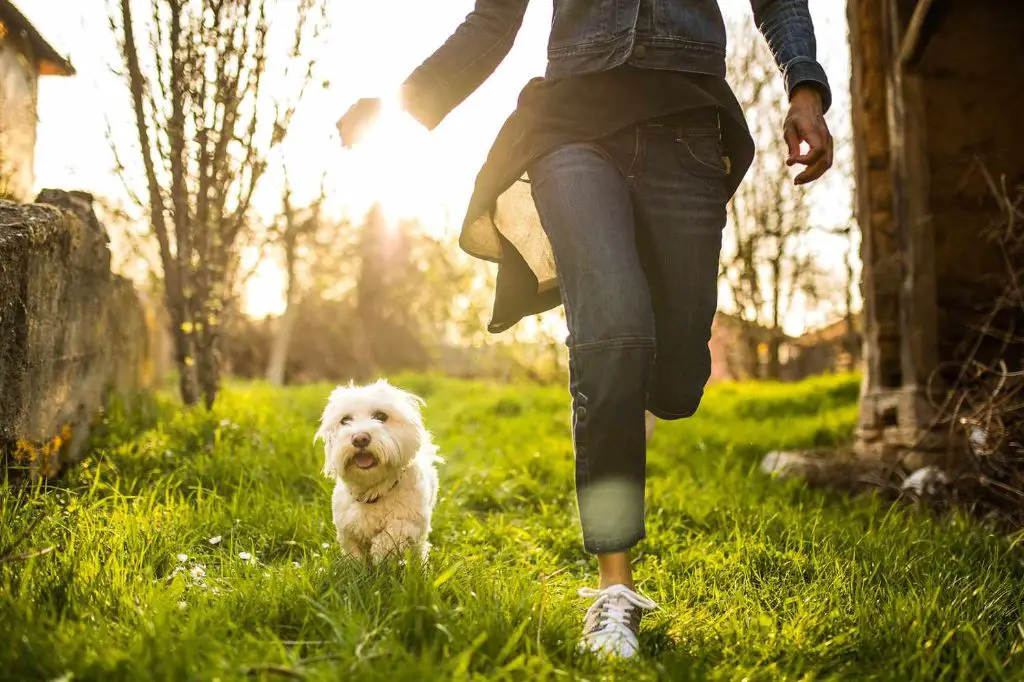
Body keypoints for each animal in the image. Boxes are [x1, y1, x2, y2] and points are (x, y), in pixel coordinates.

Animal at [313, 378, 438, 561]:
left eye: (381, 416)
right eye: (345, 420)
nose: (359, 438)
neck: (372, 491)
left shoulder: (410, 521)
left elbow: (390, 535)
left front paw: (379, 555)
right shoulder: (346, 527)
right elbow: (353, 554)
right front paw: (357, 565)